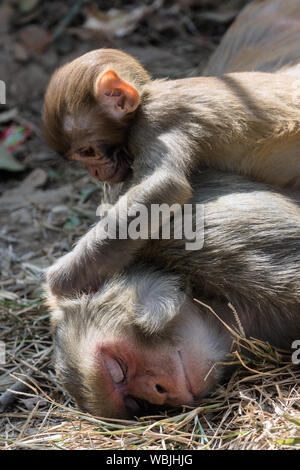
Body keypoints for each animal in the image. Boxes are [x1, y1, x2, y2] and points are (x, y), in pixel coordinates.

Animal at [43, 46, 300, 294]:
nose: (94, 173)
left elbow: (164, 185)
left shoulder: (153, 122)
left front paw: (63, 278)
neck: (146, 98)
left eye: (86, 152)